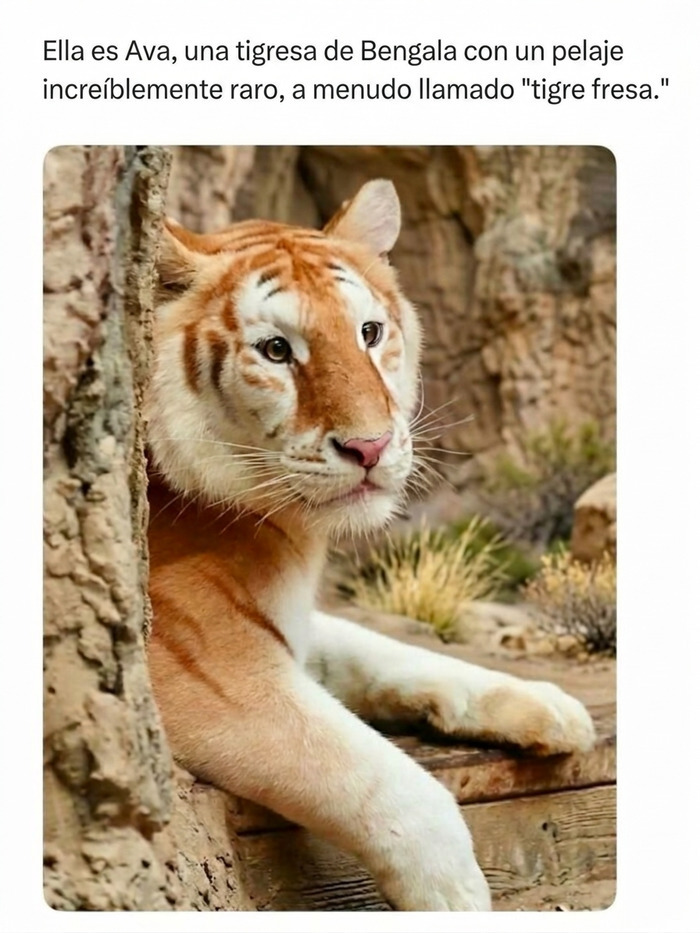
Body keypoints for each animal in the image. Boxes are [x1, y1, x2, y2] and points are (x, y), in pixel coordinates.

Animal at [145, 178, 596, 911]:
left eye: (369, 332)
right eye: (276, 350)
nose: (371, 446)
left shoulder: (292, 622)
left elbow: (391, 651)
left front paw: (549, 704)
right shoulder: (204, 669)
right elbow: (387, 780)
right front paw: (457, 895)